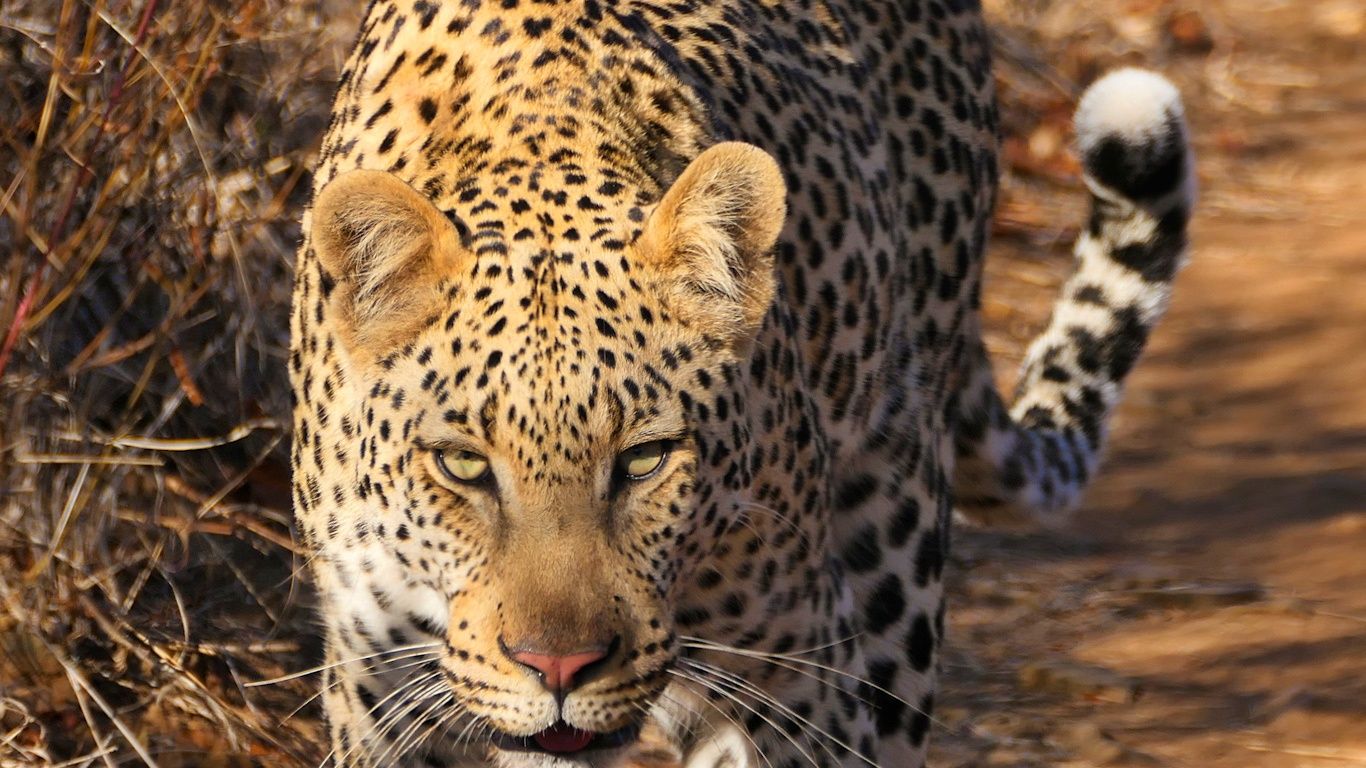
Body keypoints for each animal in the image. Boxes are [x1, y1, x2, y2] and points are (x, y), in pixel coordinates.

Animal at [287, 0, 1194, 765]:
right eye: (464, 466)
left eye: (644, 460)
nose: (561, 667)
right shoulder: (377, 693)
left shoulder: (799, 680)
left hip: (895, 533)